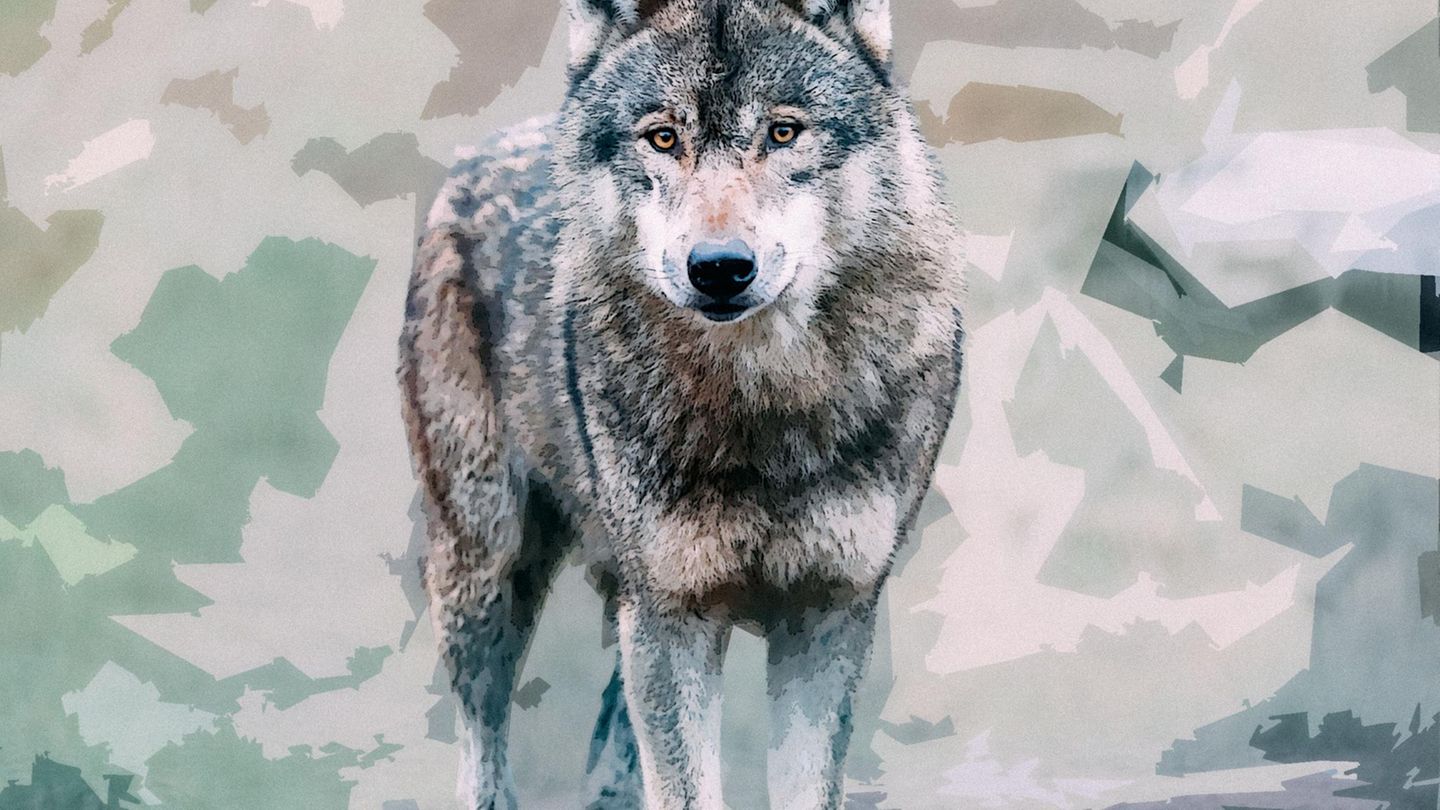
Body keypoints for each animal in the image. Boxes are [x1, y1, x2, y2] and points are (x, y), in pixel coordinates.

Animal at [398, 1, 964, 807]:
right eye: (663, 137)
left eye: (782, 132)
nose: (720, 268)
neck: (764, 404)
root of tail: (485, 149)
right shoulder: (673, 618)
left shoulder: (828, 614)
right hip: (488, 576)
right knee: (484, 754)